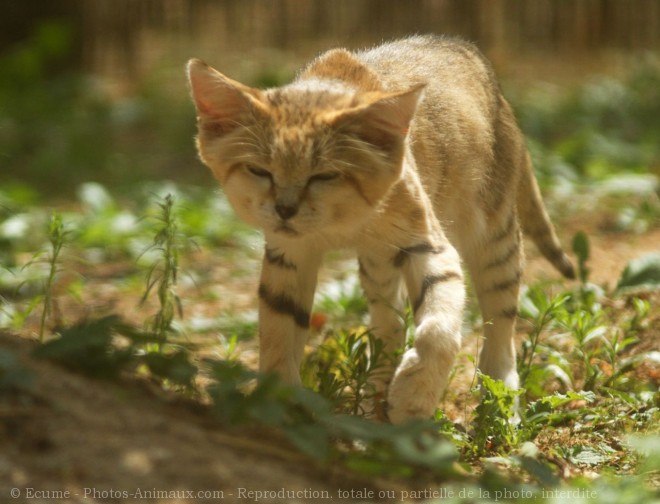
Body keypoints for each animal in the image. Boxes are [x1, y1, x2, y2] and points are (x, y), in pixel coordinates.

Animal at [186, 33, 572, 424]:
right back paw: (378, 386)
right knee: (391, 319)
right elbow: (277, 331)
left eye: (324, 175)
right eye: (258, 170)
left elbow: (439, 327)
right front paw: (281, 403)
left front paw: (413, 397)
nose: (284, 209)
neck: (343, 223)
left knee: (502, 321)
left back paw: (499, 399)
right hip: (377, 263)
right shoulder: (288, 253)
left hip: (494, 233)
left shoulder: (428, 243)